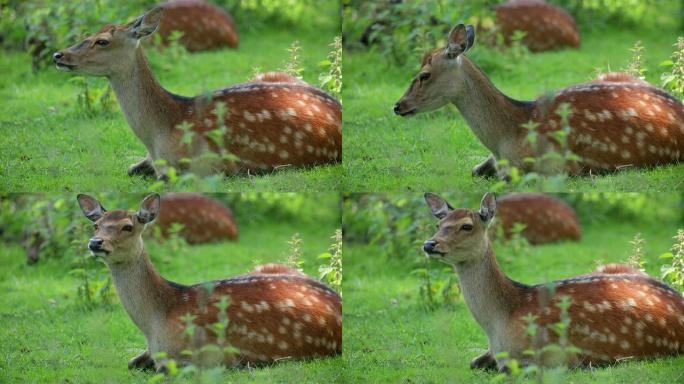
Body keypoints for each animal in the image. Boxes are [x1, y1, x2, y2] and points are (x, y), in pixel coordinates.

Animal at [77, 195, 342, 372]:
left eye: (128, 226)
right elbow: (131, 362)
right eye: (96, 225)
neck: (156, 323)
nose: (95, 242)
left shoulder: (215, 357)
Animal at [422, 192, 684, 372]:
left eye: (466, 226)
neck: (499, 323)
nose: (429, 244)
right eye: (438, 225)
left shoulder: (558, 356)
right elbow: (473, 362)